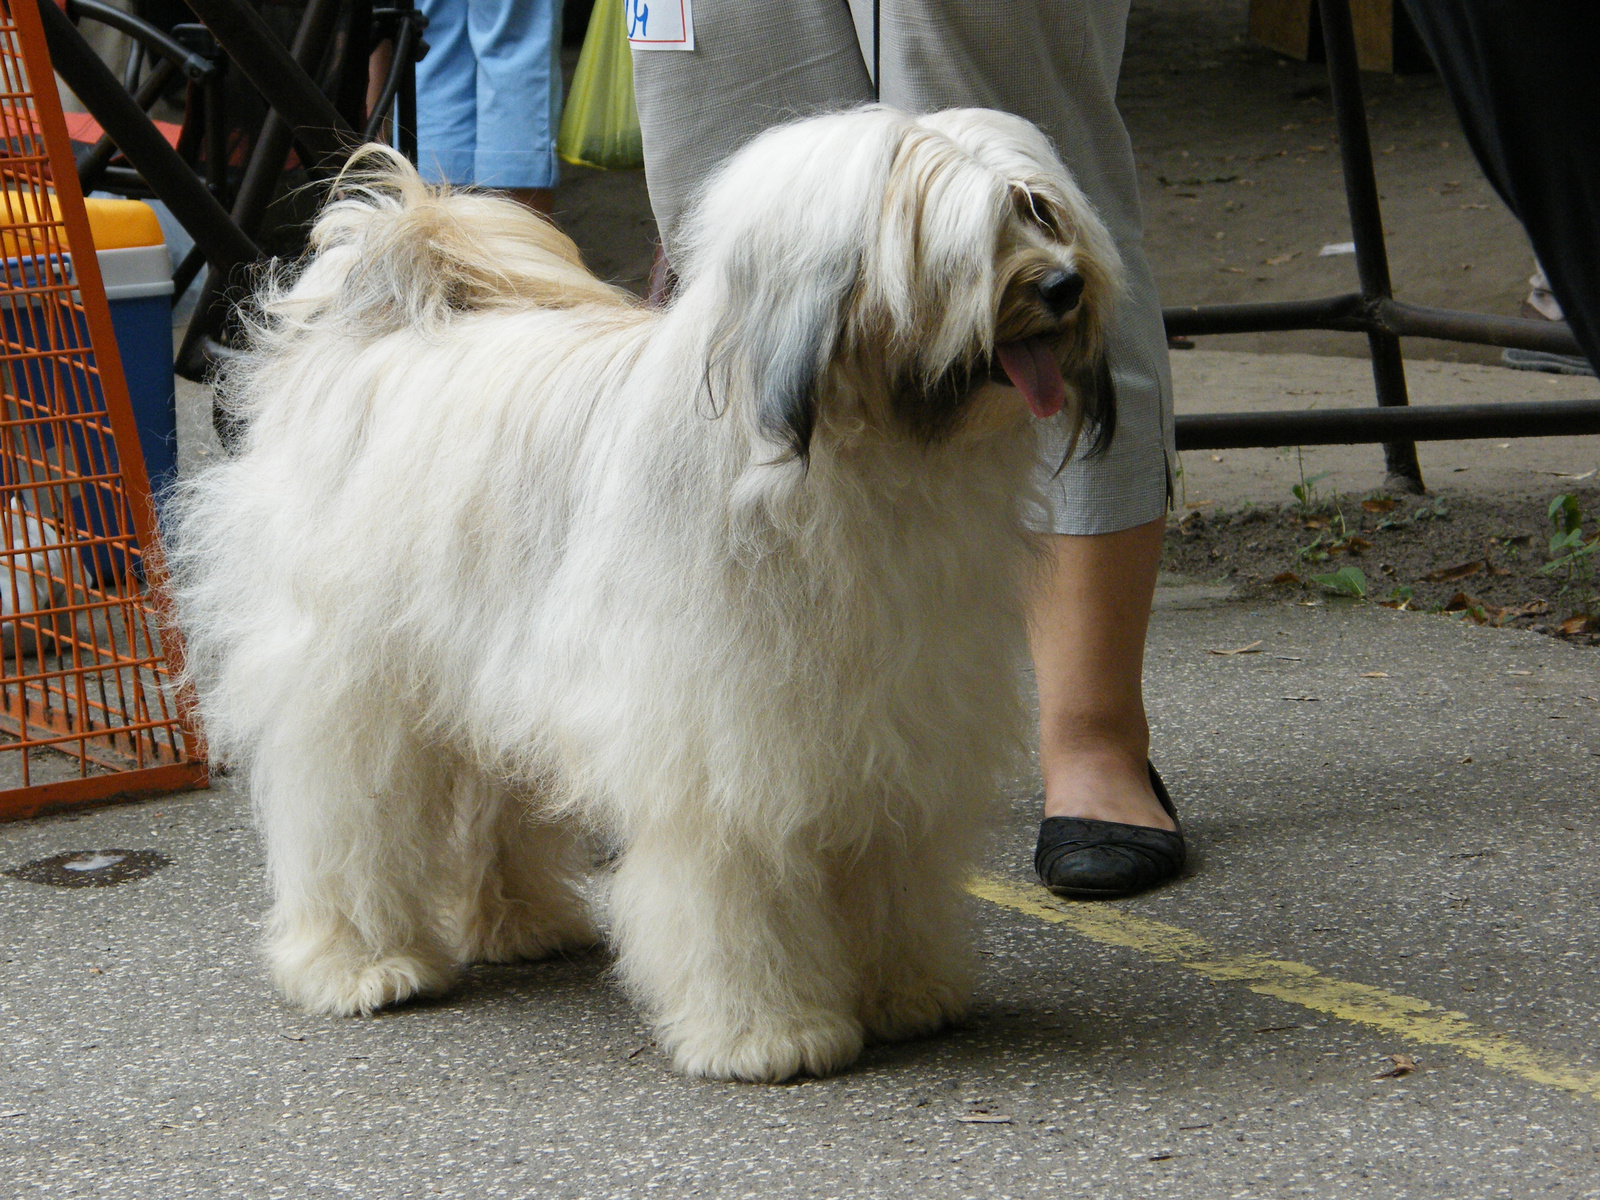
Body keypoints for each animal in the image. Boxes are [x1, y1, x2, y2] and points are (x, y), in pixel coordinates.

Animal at [168, 108, 1120, 1088]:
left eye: (1039, 209)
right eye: (961, 238)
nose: (1063, 284)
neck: (859, 458)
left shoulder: (897, 720)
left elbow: (891, 864)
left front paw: (905, 990)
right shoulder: (721, 745)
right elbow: (737, 892)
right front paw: (764, 1031)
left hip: (487, 672)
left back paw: (521, 924)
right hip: (353, 679)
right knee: (346, 813)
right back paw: (362, 963)